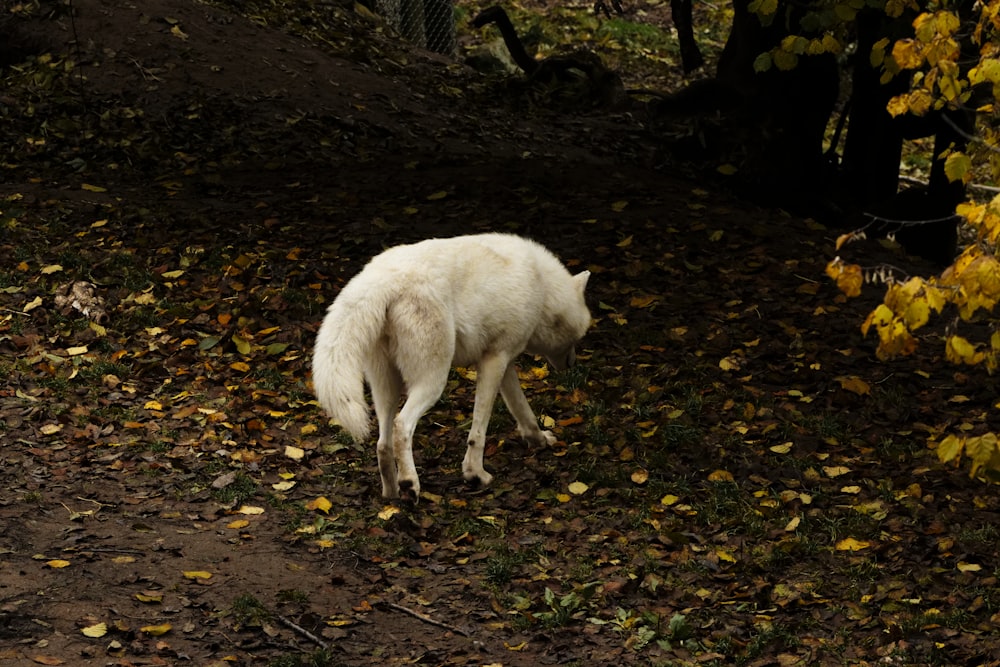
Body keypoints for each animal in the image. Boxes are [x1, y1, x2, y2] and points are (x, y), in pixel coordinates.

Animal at [312, 235, 588, 500]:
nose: (573, 363)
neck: (543, 288)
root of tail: (380, 280)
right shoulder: (494, 361)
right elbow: (479, 430)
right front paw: (475, 474)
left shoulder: (505, 362)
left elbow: (523, 410)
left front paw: (539, 439)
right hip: (434, 382)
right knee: (402, 425)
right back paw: (409, 484)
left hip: (385, 388)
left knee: (382, 444)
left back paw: (391, 495)